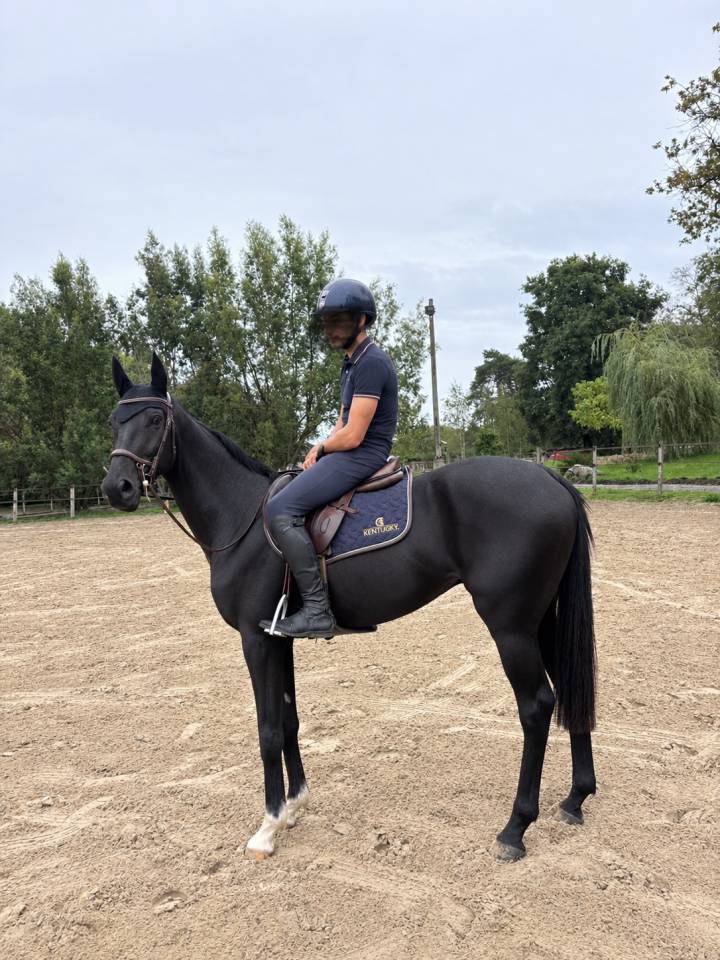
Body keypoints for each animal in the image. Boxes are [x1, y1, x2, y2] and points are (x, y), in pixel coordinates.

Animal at [102, 354, 597, 862]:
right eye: (114, 421)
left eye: (155, 419)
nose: (117, 488)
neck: (243, 516)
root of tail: (550, 478)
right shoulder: (280, 638)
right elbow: (290, 720)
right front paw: (295, 805)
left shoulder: (255, 640)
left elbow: (267, 730)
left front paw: (268, 826)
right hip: (542, 621)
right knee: (571, 687)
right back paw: (575, 798)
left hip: (511, 626)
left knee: (536, 706)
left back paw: (515, 827)